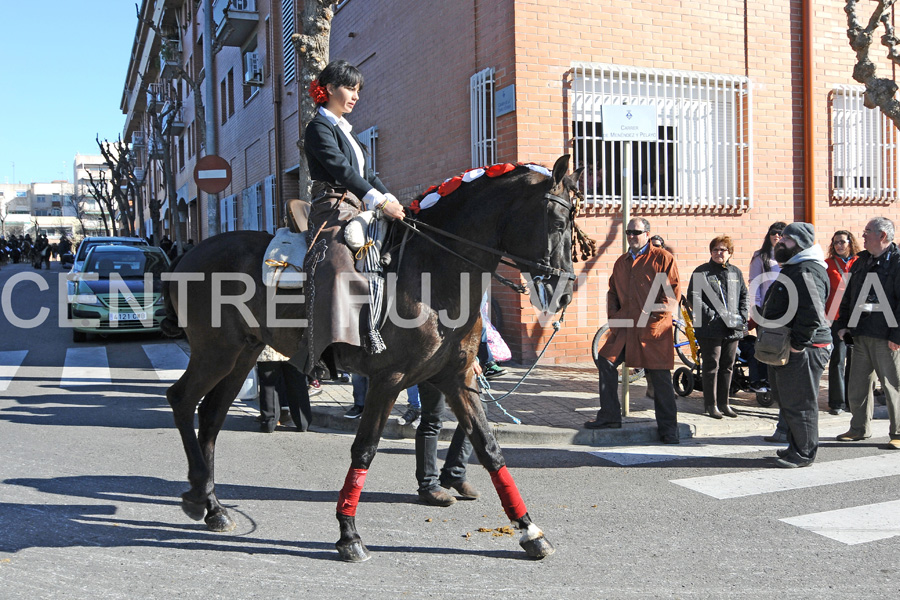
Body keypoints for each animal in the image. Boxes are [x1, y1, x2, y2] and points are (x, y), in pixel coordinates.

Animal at [162, 155, 584, 564]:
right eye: (558, 221)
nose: (564, 294)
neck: (432, 272)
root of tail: (187, 256)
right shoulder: (388, 379)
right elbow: (364, 449)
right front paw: (349, 534)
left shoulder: (455, 378)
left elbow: (488, 447)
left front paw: (529, 530)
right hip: (215, 353)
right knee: (181, 399)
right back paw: (198, 495)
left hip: (241, 355)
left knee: (211, 417)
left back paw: (213, 506)